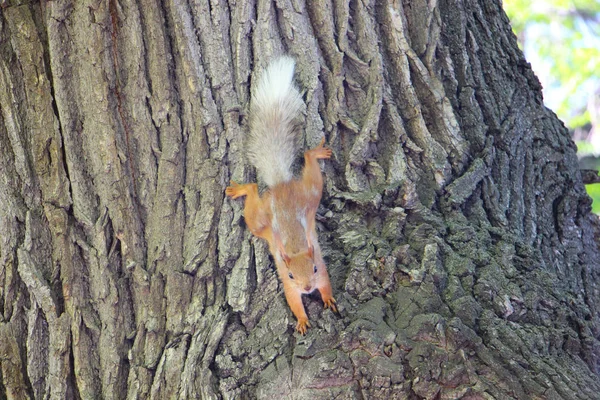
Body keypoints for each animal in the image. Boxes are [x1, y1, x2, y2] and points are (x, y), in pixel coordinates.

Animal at [226, 54, 338, 332]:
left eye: (314, 268)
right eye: (289, 274)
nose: (307, 287)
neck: (297, 251)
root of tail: (280, 185)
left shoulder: (322, 270)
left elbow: (327, 285)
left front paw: (328, 298)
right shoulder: (289, 287)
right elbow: (294, 302)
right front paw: (302, 320)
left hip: (311, 191)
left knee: (306, 160)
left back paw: (316, 153)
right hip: (259, 220)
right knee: (254, 190)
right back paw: (241, 188)